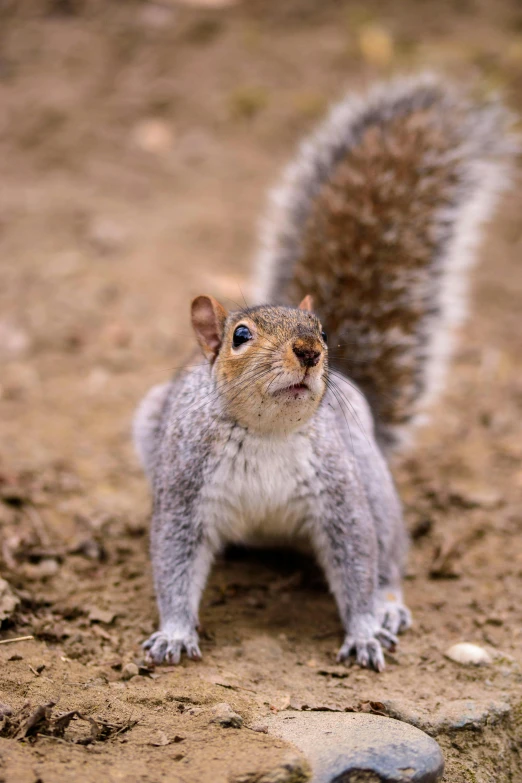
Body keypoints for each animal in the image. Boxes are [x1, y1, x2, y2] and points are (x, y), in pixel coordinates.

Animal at [132, 76, 510, 672]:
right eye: (239, 335)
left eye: (324, 331)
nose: (310, 351)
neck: (266, 433)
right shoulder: (184, 487)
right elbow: (172, 563)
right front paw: (173, 633)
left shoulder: (341, 492)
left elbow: (358, 561)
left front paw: (364, 630)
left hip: (375, 482)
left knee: (388, 557)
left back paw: (389, 606)